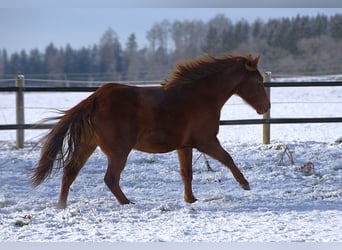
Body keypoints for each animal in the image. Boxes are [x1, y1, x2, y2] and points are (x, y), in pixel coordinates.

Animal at [30, 54, 270, 209]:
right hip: (118, 151)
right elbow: (227, 158)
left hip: (87, 145)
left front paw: (190, 200)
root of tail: (95, 98)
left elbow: (186, 173)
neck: (200, 96)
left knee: (70, 171)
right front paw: (245, 184)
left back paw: (61, 206)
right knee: (110, 178)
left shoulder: (185, 146)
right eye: (259, 81)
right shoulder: (206, 141)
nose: (266, 107)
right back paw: (127, 203)